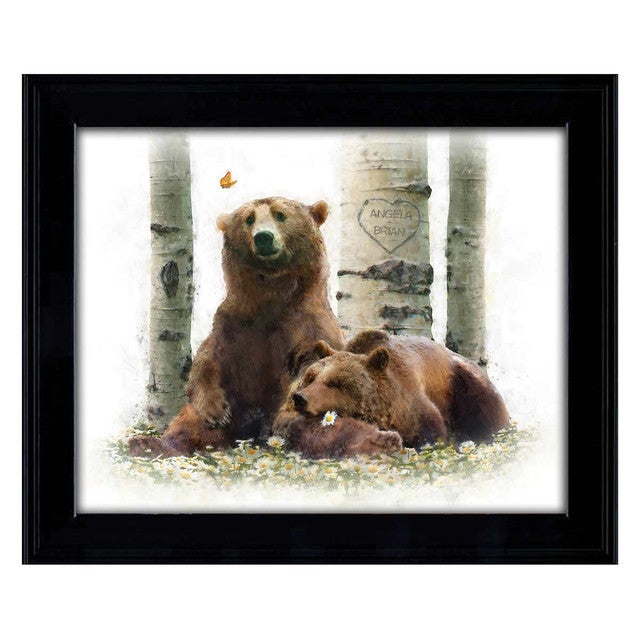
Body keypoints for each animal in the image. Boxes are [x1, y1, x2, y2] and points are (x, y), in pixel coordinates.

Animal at [129, 196, 345, 458]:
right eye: (249, 219)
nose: (263, 237)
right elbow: (207, 361)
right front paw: (216, 411)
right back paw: (149, 443)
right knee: (188, 422)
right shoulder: (234, 324)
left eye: (280, 214)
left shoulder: (307, 322)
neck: (271, 295)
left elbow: (315, 363)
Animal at [271, 329, 509, 454]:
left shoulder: (412, 405)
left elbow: (430, 432)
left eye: (335, 383)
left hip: (467, 386)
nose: (301, 398)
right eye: (311, 377)